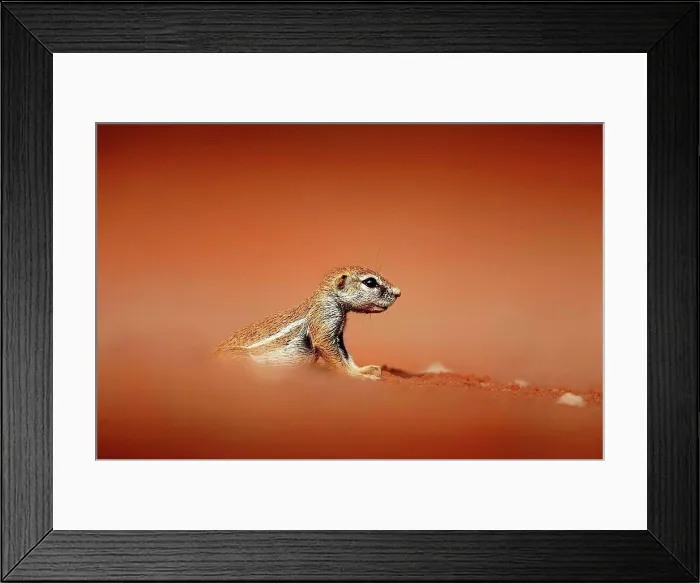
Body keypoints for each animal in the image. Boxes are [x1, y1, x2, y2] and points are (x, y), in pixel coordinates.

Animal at [213, 266, 401, 380]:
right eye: (370, 282)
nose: (398, 292)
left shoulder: (338, 333)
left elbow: (345, 355)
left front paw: (363, 370)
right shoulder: (325, 321)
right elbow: (335, 356)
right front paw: (355, 376)